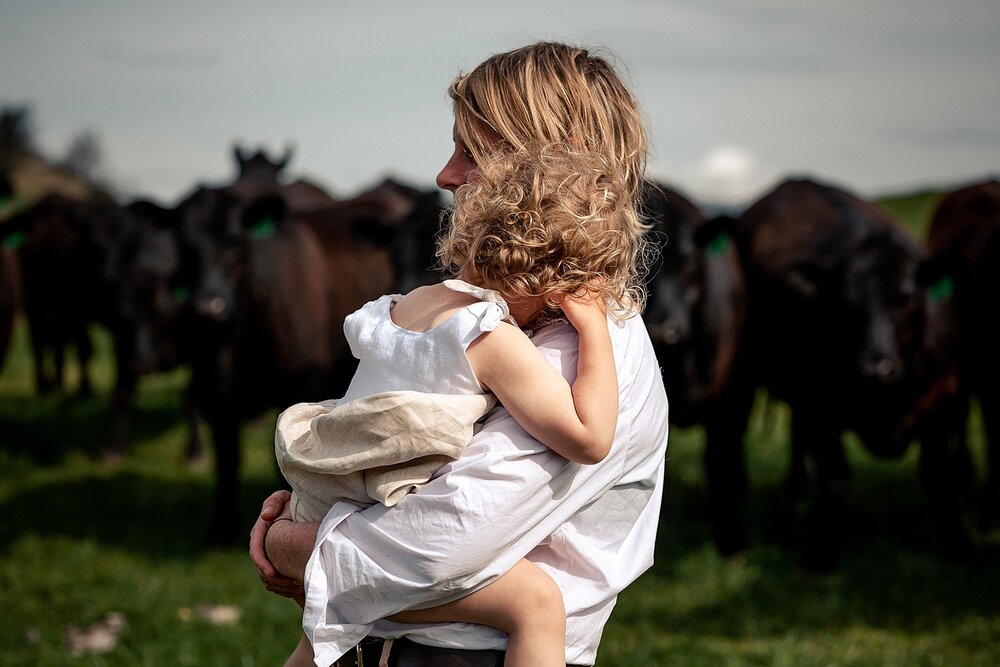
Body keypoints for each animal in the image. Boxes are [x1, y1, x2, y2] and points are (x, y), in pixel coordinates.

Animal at [720, 177, 968, 568]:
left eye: (906, 299)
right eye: (845, 303)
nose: (876, 367)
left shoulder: (944, 403)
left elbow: (939, 474)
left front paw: (958, 544)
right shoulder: (821, 408)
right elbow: (836, 479)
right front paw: (822, 553)